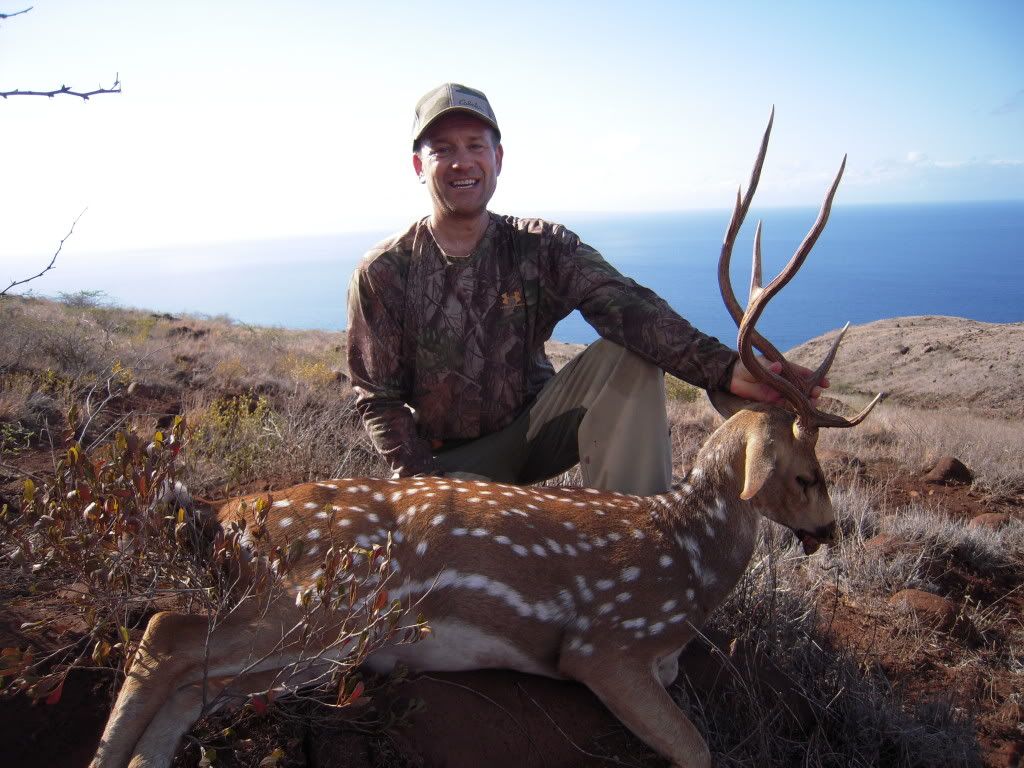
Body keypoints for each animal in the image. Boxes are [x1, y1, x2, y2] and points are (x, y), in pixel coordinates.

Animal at [90, 112, 882, 768]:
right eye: (806, 473)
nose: (830, 529)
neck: (687, 568)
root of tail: (225, 516)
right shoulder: (604, 643)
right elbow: (696, 750)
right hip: (324, 600)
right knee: (166, 633)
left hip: (315, 639)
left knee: (190, 680)